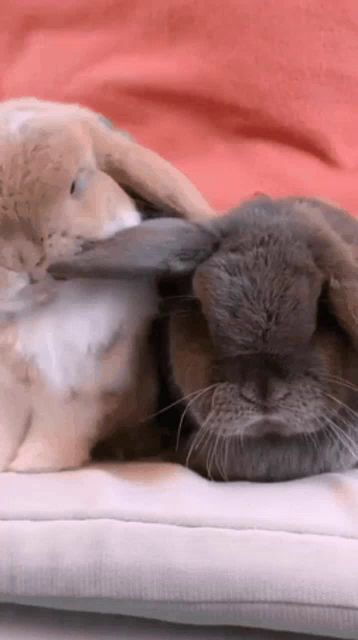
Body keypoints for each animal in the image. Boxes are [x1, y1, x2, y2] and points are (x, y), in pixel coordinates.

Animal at [0, 97, 214, 472]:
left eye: (76, 184)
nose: (25, 259)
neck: (45, 307)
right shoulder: (9, 391)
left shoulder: (83, 392)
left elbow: (57, 432)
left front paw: (35, 464)